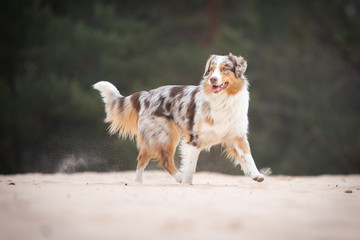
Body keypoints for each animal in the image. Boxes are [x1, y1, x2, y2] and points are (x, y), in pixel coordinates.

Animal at [93, 53, 264, 184]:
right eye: (212, 70)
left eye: (225, 69)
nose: (213, 79)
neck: (223, 100)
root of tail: (146, 95)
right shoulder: (194, 139)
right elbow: (190, 166)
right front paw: (187, 183)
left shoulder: (236, 135)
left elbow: (248, 156)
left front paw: (256, 175)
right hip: (164, 136)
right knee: (152, 159)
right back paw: (147, 181)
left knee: (154, 159)